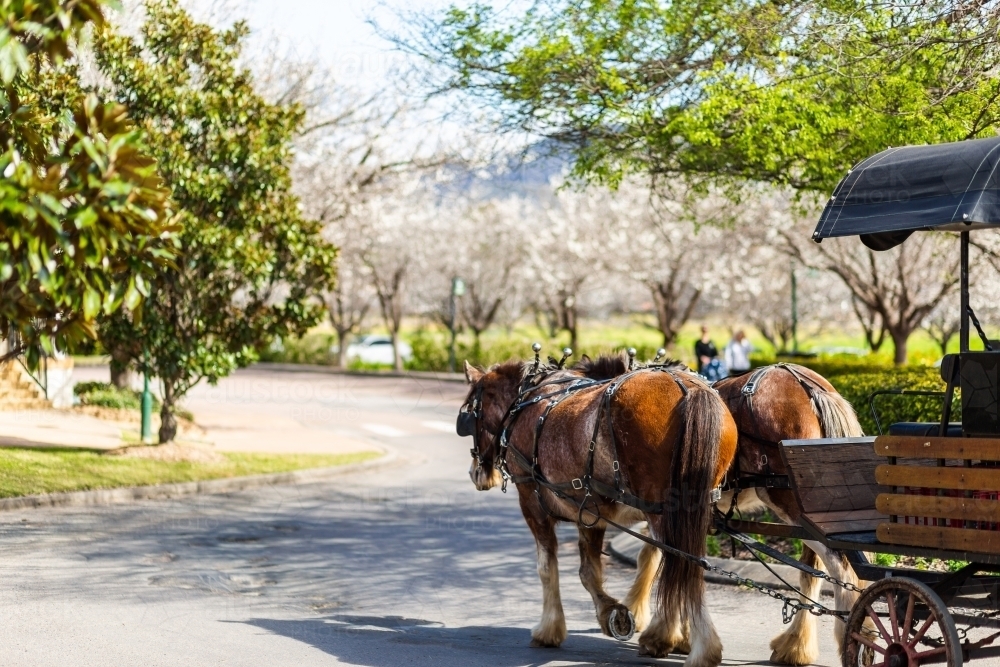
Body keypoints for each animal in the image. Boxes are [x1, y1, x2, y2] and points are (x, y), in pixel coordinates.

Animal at [458, 358, 736, 664]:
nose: (475, 473)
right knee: (687, 567)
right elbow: (589, 570)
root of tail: (688, 387)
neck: (526, 403)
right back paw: (682, 638)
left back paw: (697, 647)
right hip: (694, 509)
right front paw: (615, 614)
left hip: (663, 511)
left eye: (470, 413)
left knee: (681, 566)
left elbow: (549, 568)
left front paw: (551, 628)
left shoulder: (531, 501)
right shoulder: (590, 513)